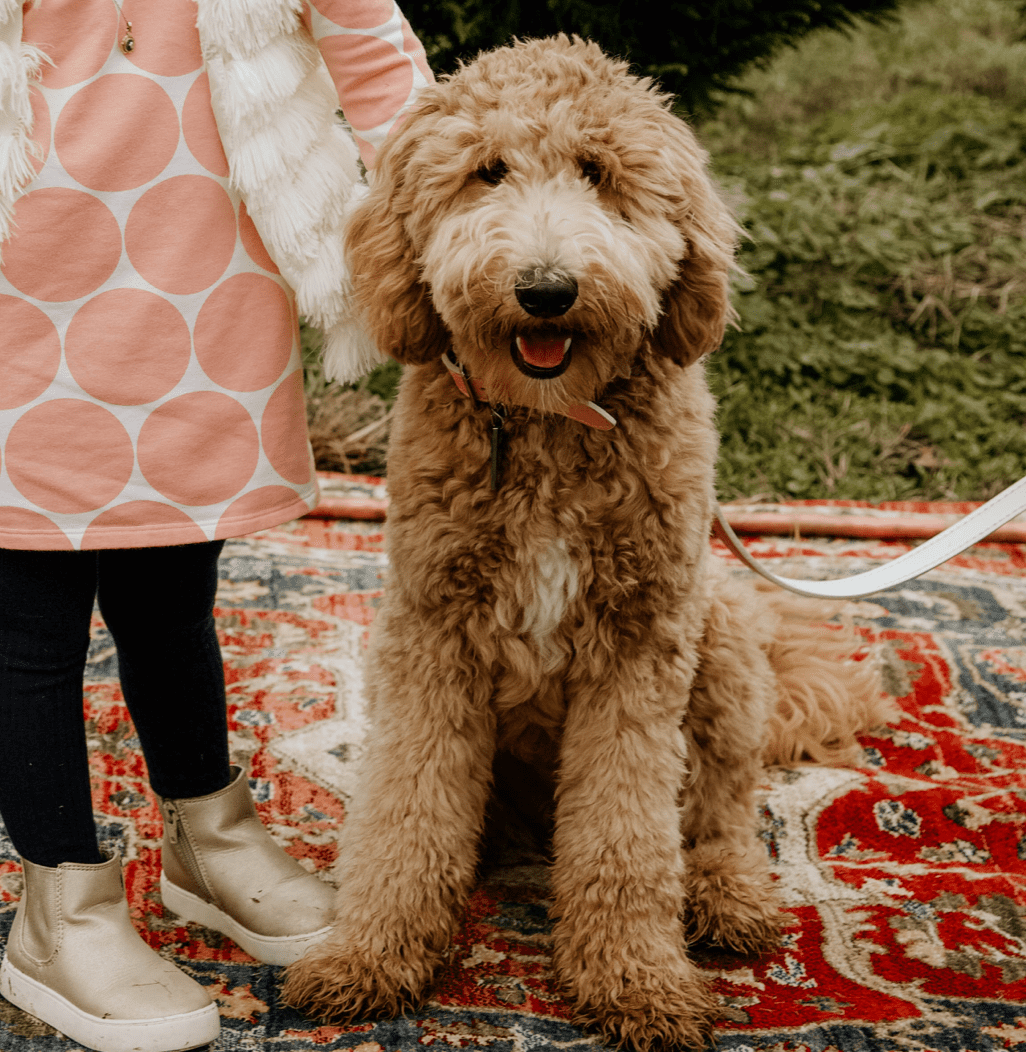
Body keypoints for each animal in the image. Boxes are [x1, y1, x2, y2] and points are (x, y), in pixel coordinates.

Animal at [284, 34, 896, 1052]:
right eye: (487, 171)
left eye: (600, 174)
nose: (546, 290)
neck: (549, 424)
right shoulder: (431, 636)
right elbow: (407, 812)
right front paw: (372, 953)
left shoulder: (639, 648)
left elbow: (627, 833)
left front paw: (635, 979)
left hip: (721, 643)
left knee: (719, 810)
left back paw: (728, 898)